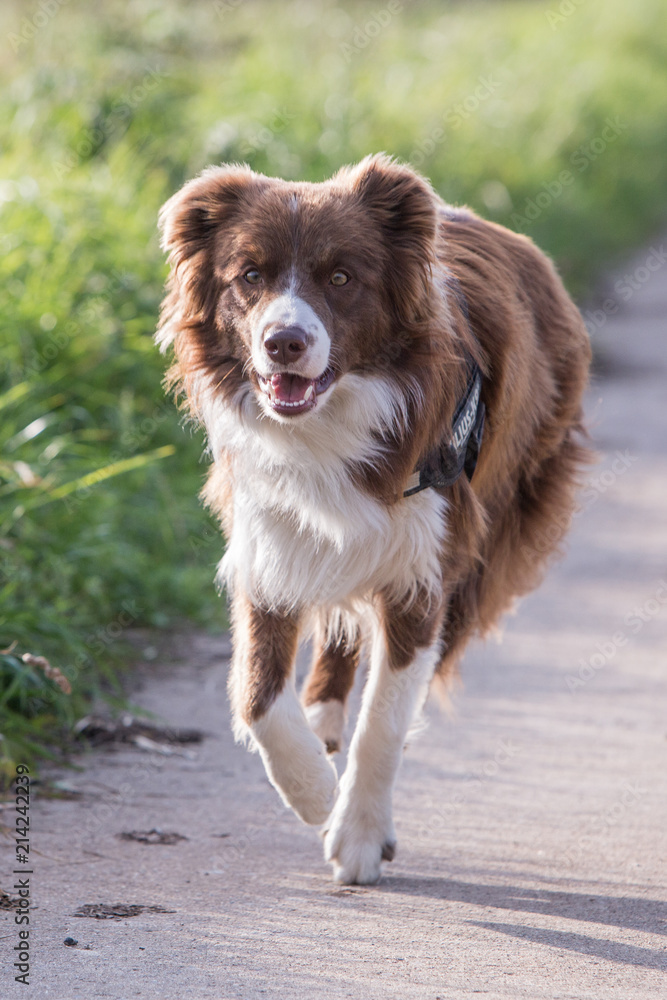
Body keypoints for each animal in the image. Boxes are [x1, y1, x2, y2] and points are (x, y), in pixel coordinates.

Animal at [155, 154, 588, 884]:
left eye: (340, 277)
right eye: (250, 275)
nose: (284, 343)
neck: (328, 426)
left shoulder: (425, 563)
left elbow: (384, 720)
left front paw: (355, 834)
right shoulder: (270, 541)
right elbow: (256, 695)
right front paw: (313, 792)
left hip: (497, 529)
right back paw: (322, 722)